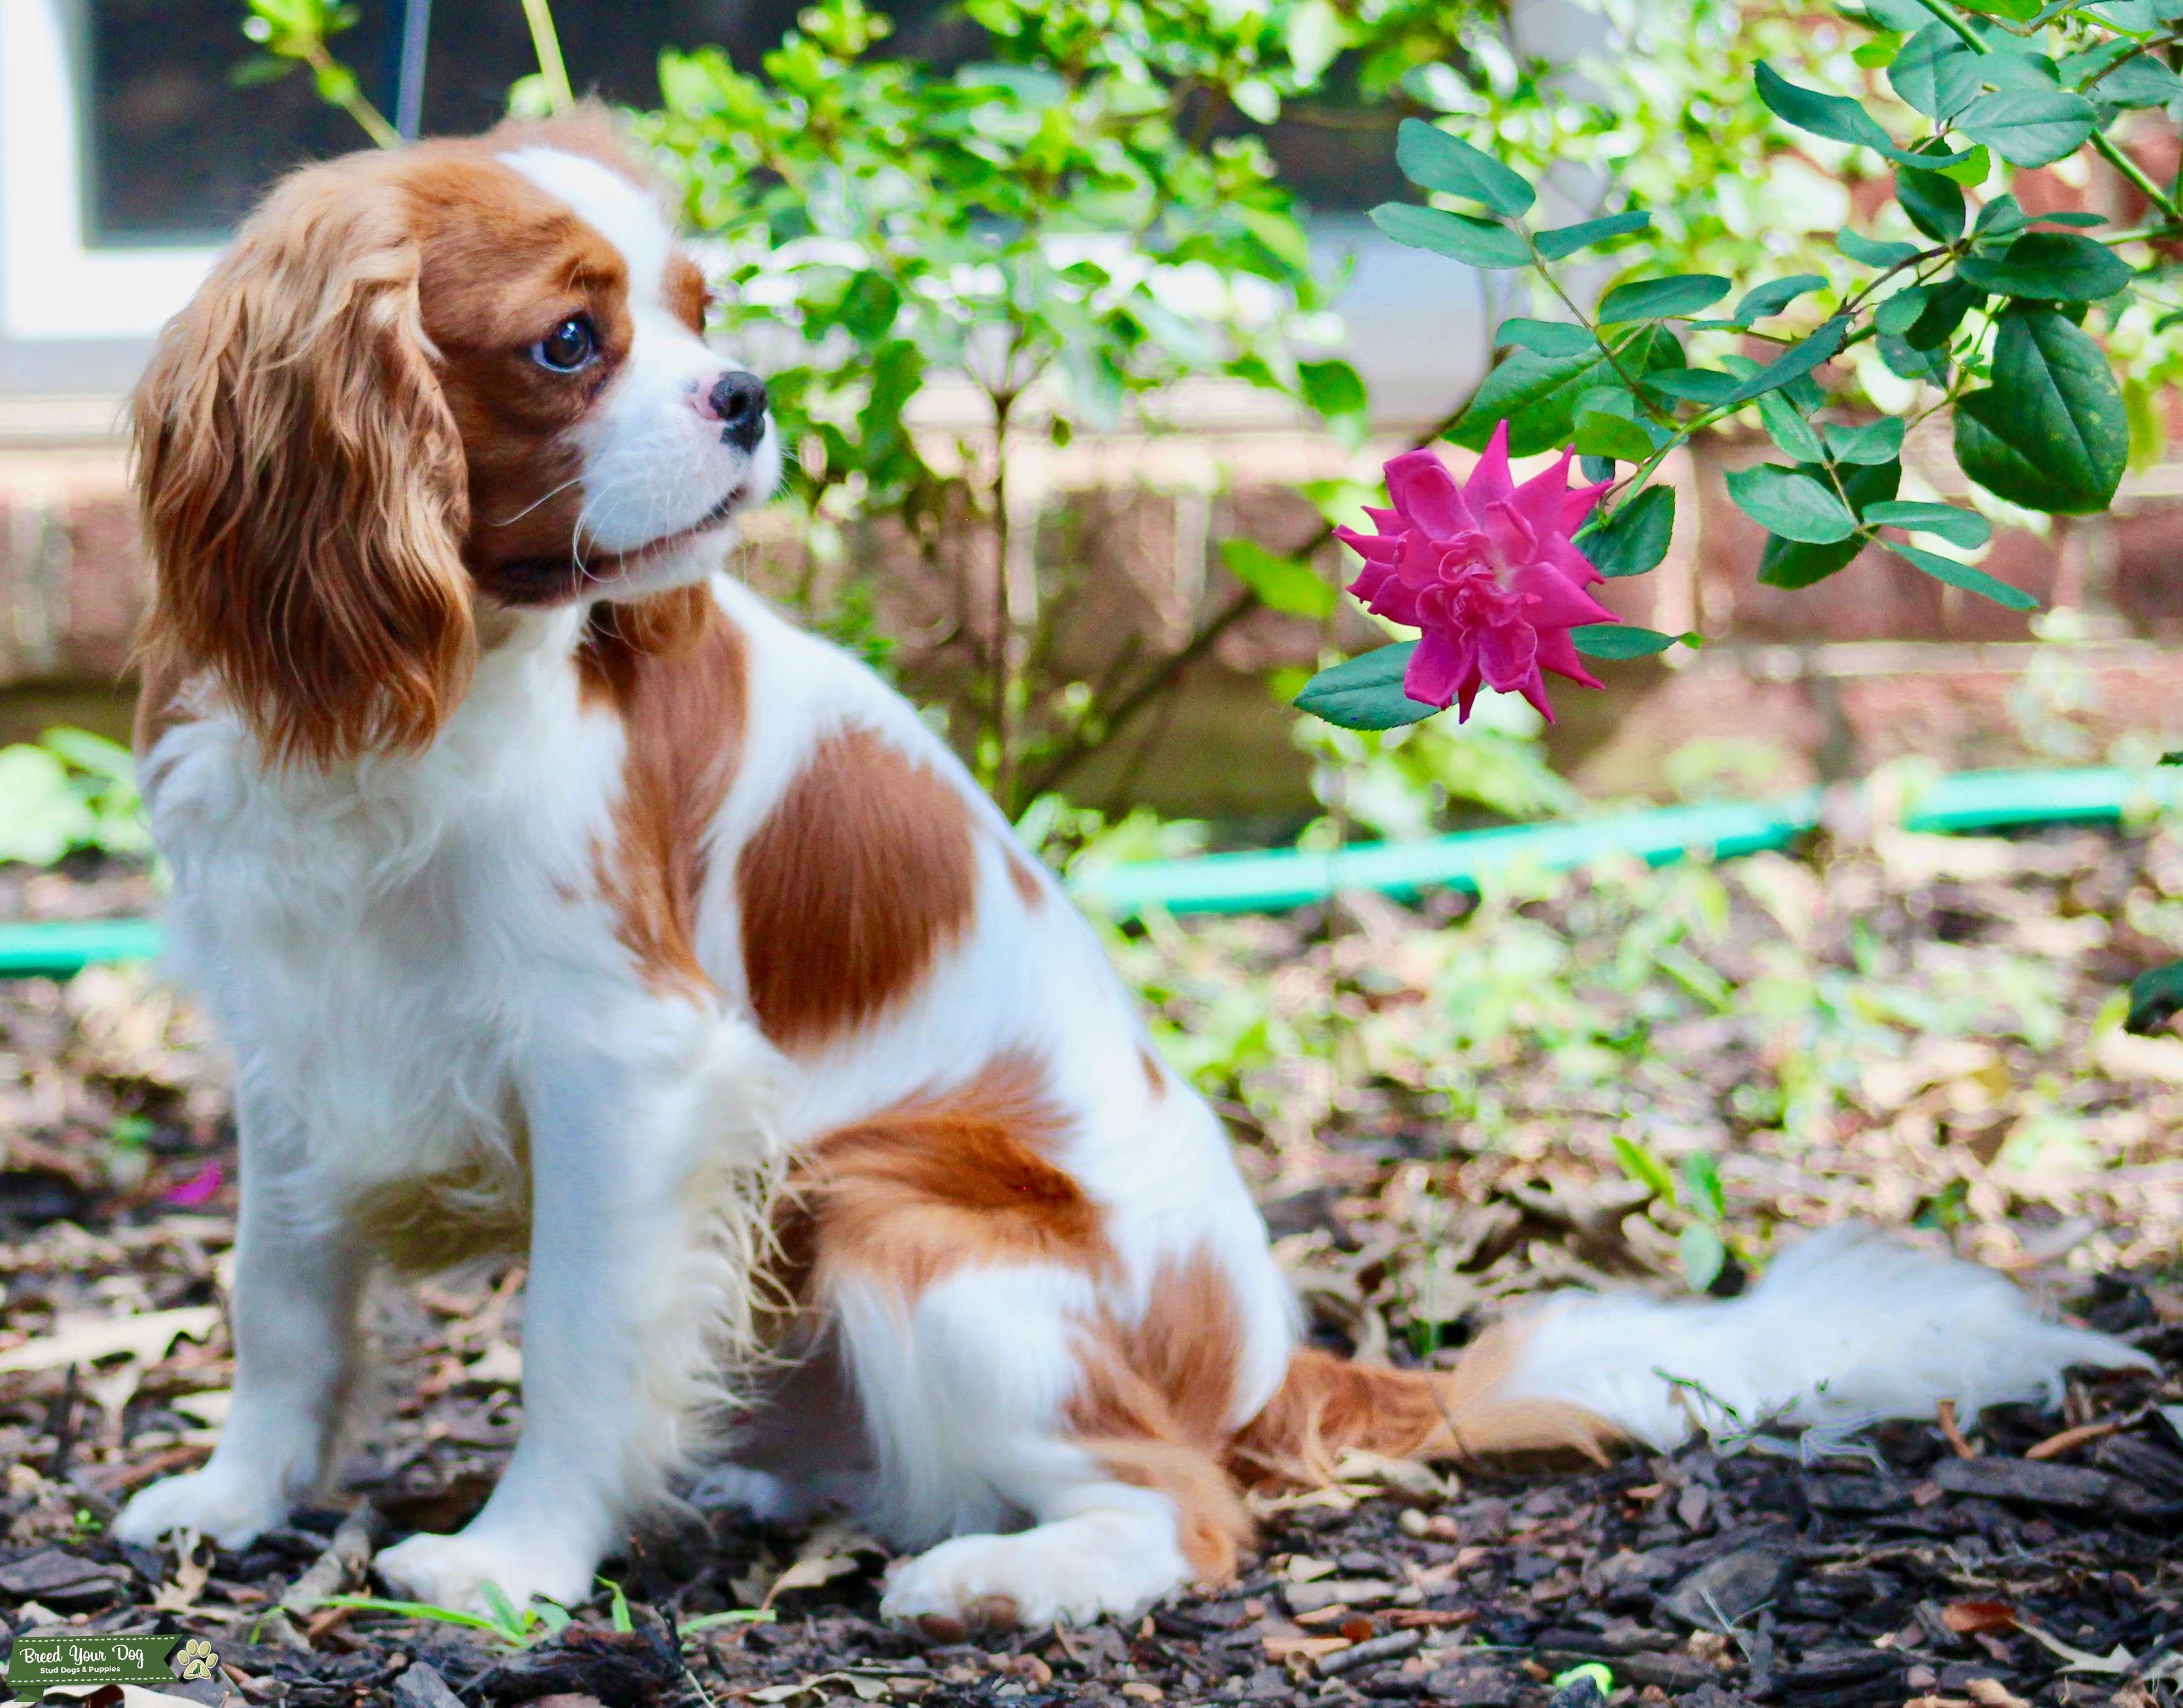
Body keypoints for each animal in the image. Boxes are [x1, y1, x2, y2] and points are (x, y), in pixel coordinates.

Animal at [110, 120, 2139, 1634]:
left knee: (1188, 1513)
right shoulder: (293, 1030)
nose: (748, 395)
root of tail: (1268, 1365)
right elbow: (282, 1297)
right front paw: (232, 1492)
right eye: (568, 342)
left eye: (699, 315)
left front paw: (513, 1563)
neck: (430, 683)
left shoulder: (630, 1069)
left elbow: (578, 1340)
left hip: (905, 1223)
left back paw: (997, 1576)